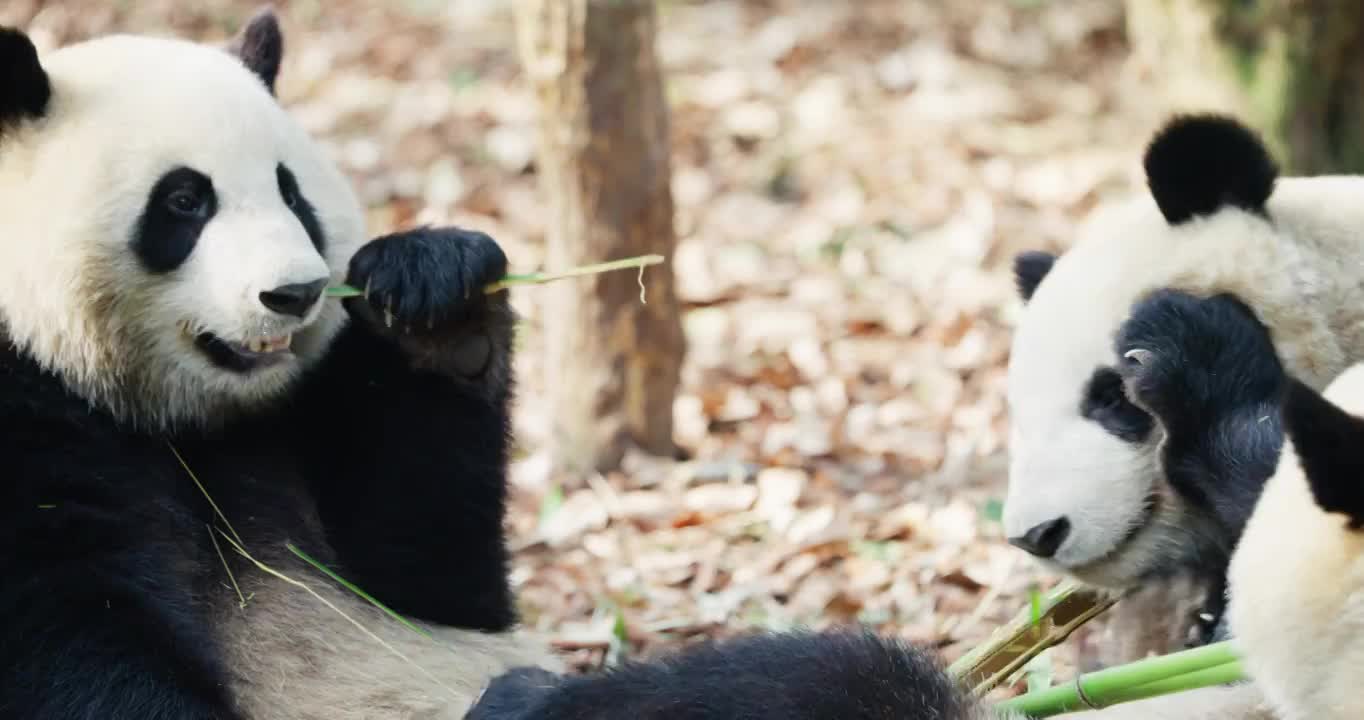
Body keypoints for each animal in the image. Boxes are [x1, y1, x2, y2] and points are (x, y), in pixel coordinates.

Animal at [0, 11, 559, 720]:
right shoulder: (22, 412)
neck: (181, 418)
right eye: (184, 200)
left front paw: (437, 297)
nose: (295, 293)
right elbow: (66, 630)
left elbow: (434, 578)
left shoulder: (297, 421)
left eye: (291, 194)